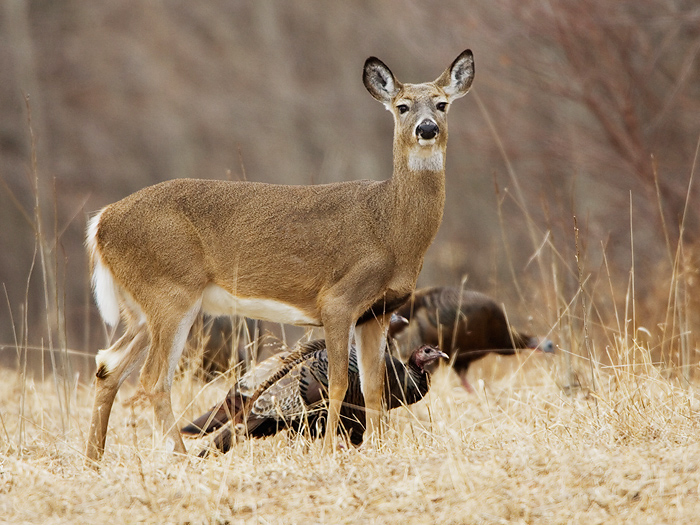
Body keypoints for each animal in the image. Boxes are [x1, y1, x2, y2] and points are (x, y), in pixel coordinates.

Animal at [83, 48, 476, 458]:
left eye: (442, 104)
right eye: (402, 106)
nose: (426, 128)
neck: (390, 229)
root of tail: (101, 222)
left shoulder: (378, 312)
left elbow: (373, 386)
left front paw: (379, 450)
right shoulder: (338, 301)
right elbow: (338, 382)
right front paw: (328, 451)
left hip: (142, 308)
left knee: (108, 364)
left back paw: (94, 459)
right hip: (170, 293)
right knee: (154, 377)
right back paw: (180, 457)